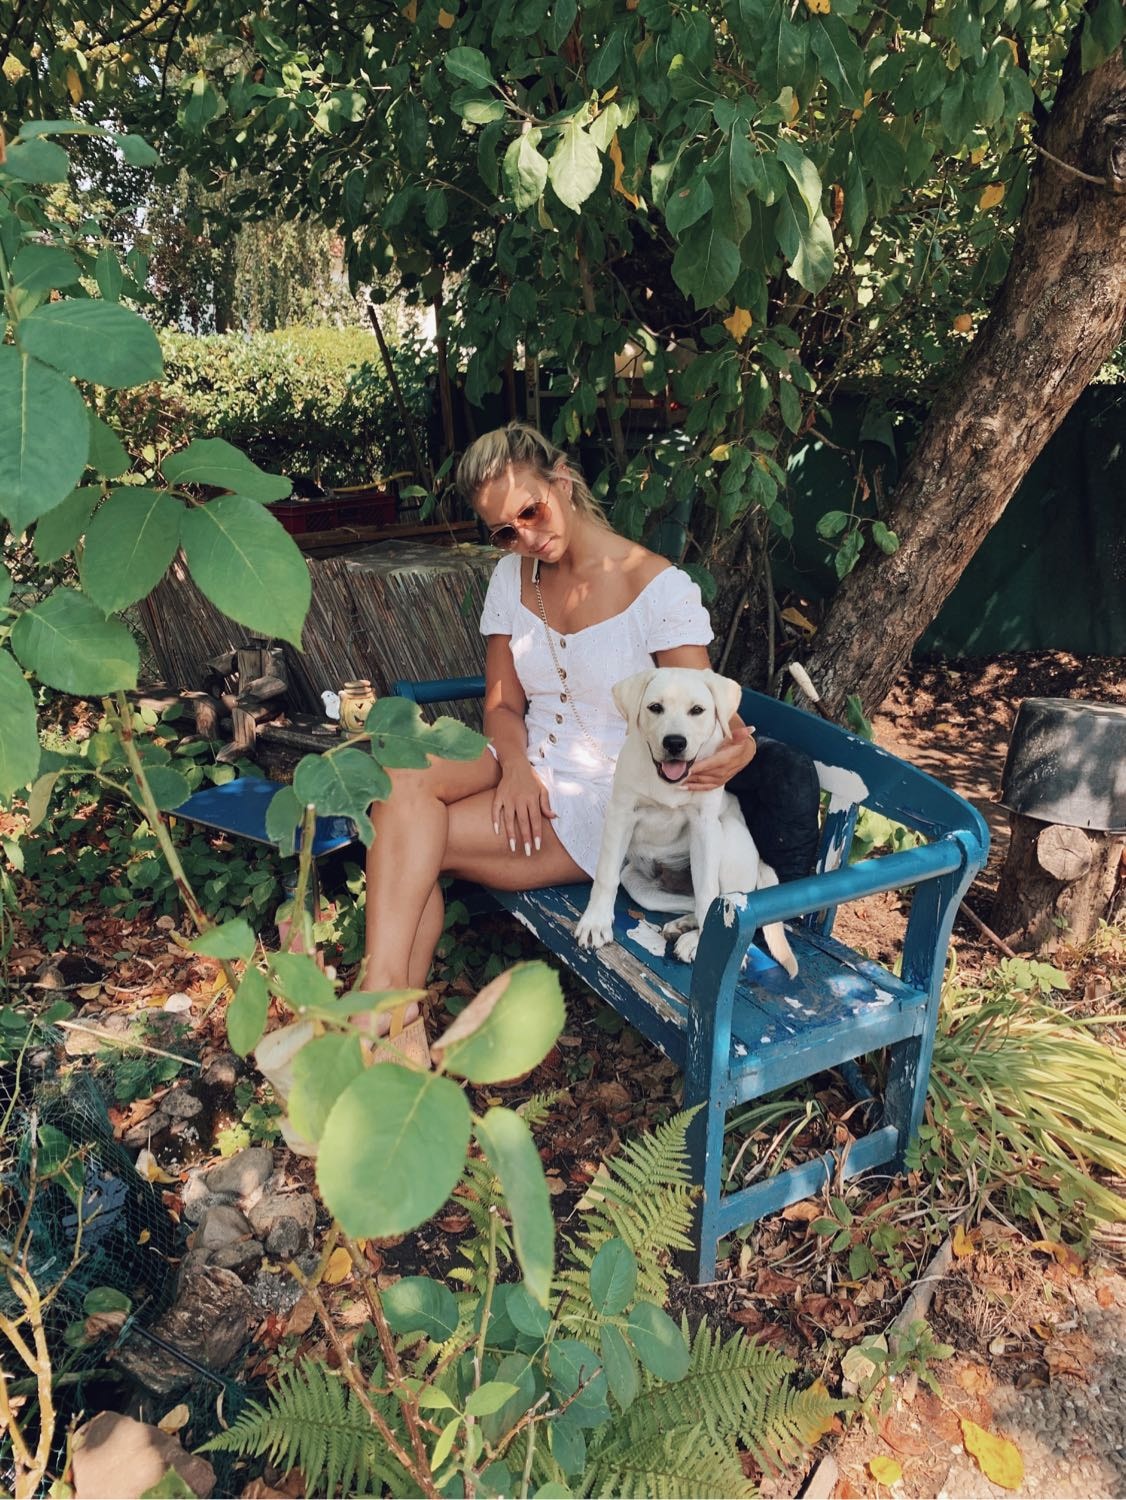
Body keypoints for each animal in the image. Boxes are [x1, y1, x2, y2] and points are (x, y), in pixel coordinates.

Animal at [574, 667, 799, 975]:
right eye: (655, 708)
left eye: (697, 710)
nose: (675, 743)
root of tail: (760, 864)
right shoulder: (621, 813)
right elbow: (606, 874)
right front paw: (596, 922)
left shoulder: (704, 827)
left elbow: (708, 893)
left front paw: (707, 946)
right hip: (637, 882)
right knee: (686, 900)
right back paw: (683, 926)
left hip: (728, 841)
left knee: (721, 905)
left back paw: (697, 940)